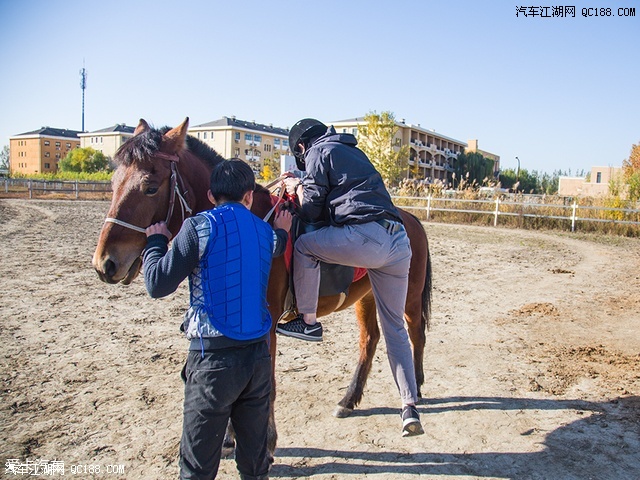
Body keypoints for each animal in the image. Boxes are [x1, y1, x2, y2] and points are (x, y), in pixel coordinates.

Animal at [92, 116, 432, 458]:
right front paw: (230, 439)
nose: (105, 263)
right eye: (113, 183)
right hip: (367, 297)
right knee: (370, 340)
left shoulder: (264, 324)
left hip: (407, 296)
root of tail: (408, 218)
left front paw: (266, 441)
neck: (242, 223)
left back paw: (414, 389)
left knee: (414, 333)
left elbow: (266, 383)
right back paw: (349, 400)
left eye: (150, 187)